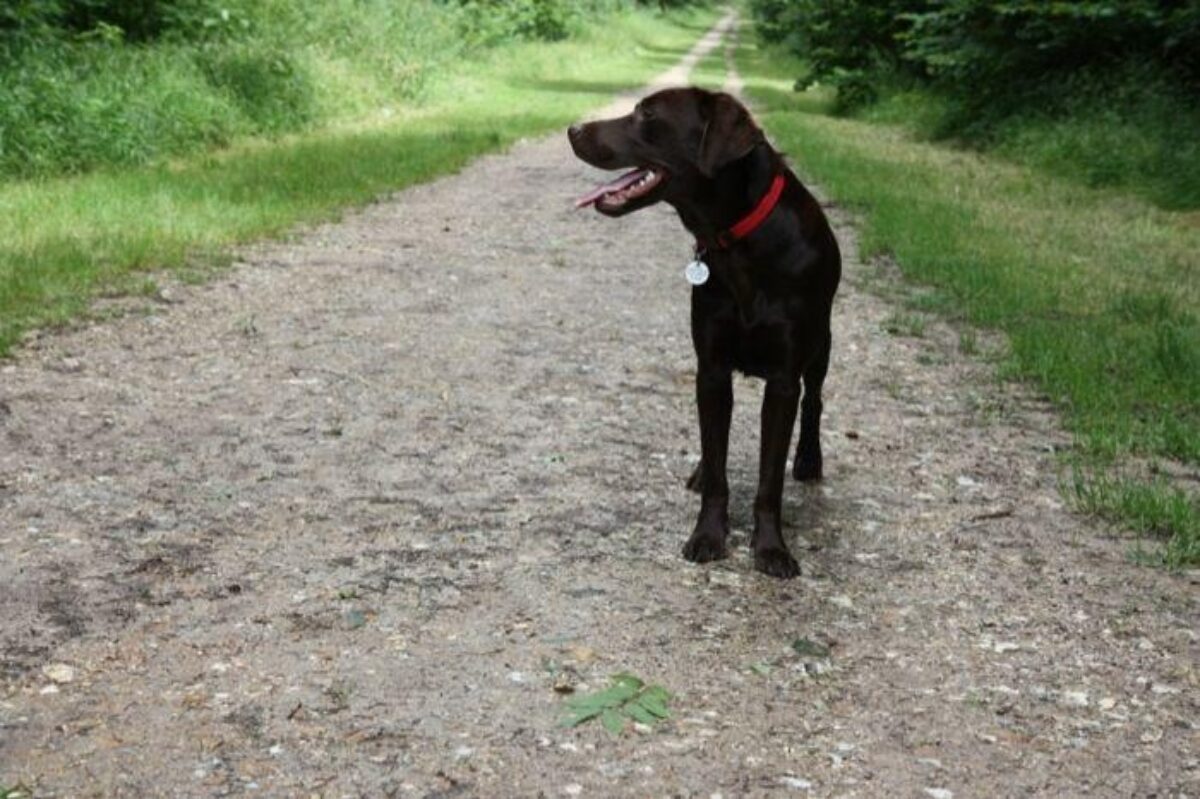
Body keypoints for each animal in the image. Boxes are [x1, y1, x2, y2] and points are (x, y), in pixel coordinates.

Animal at [566, 86, 840, 575]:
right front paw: (708, 535)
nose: (573, 129)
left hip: (821, 347)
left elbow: (770, 478)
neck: (737, 242)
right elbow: (717, 464)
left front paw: (772, 549)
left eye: (647, 114)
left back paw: (809, 459)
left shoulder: (783, 379)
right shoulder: (710, 369)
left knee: (815, 400)